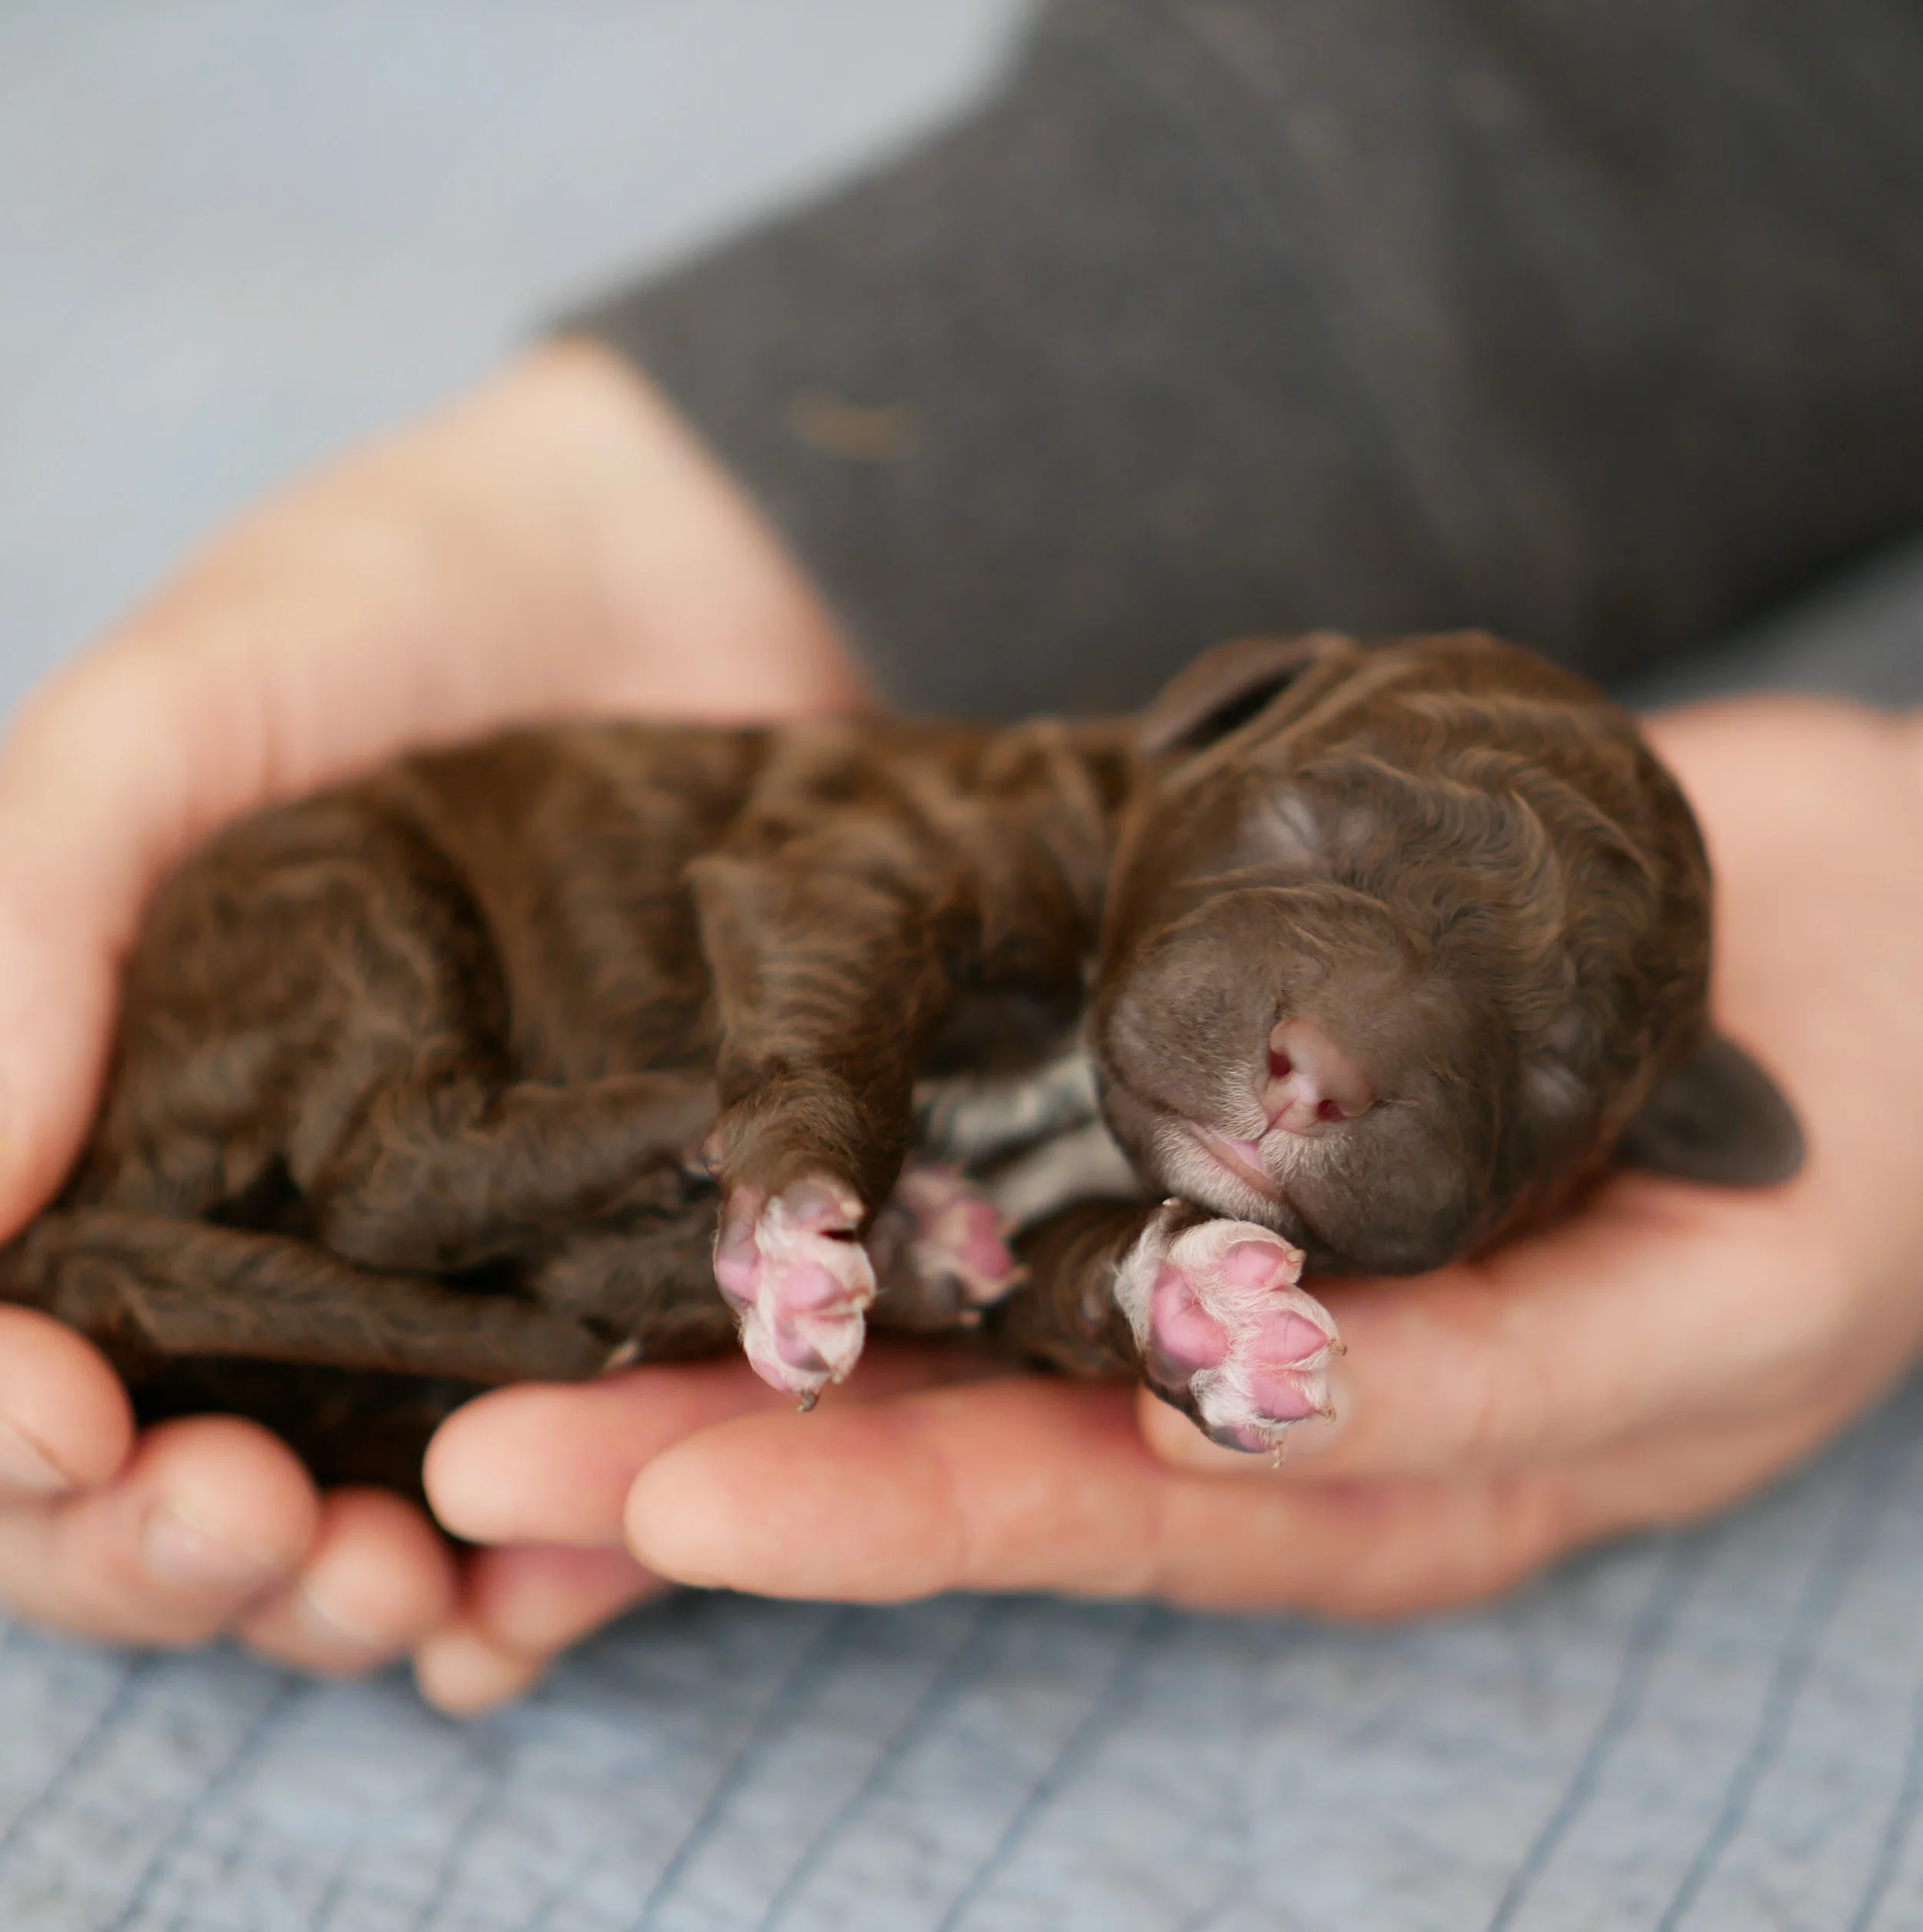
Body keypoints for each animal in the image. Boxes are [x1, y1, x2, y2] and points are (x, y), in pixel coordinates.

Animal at [1, 632, 1802, 1479]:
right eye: (1307, 822)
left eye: (1558, 1064)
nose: (1318, 1069)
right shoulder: (850, 861)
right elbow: (840, 1003)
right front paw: (800, 1204)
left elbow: (1068, 1280)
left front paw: (1201, 1312)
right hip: (343, 899)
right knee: (390, 1166)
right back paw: (700, 1132)